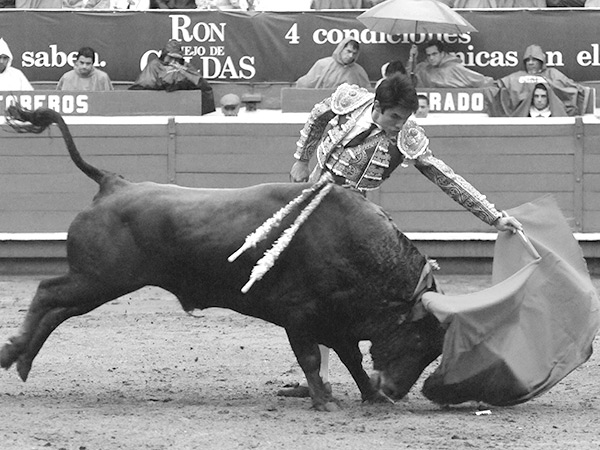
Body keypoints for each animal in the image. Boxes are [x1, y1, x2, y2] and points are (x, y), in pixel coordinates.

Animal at [0, 106, 446, 412]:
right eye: (419, 339)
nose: (395, 391)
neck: (353, 244)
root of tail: (113, 183)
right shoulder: (300, 314)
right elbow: (311, 358)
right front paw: (325, 400)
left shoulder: (336, 320)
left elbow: (351, 359)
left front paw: (370, 396)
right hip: (98, 278)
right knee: (47, 292)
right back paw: (12, 353)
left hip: (97, 283)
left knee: (58, 309)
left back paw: (21, 362)